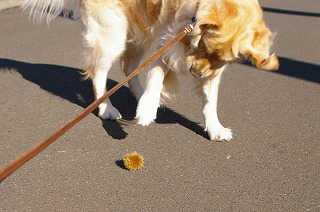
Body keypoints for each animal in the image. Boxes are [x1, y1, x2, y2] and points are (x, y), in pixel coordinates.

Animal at [21, 0, 278, 141]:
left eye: (222, 60)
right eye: (205, 45)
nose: (195, 72)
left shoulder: (211, 71)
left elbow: (209, 101)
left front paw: (215, 128)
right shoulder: (165, 39)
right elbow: (155, 76)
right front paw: (146, 109)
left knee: (128, 67)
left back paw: (137, 94)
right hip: (113, 33)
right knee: (100, 72)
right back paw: (106, 108)